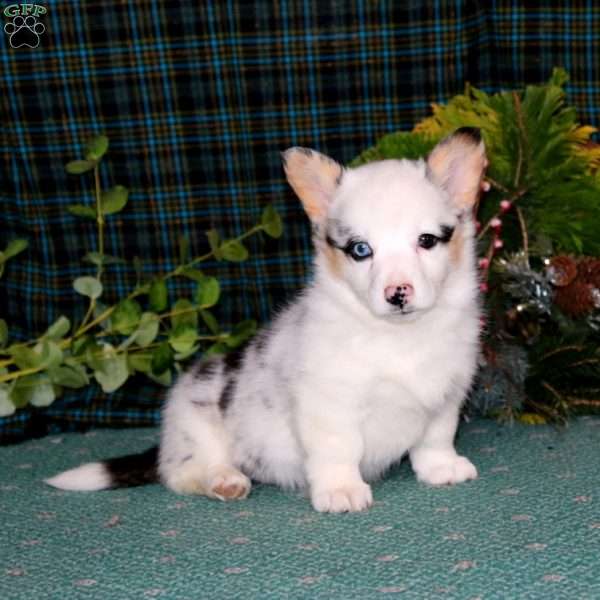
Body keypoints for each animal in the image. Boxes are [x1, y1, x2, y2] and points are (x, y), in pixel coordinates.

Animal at [47, 129, 488, 512]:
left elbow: (435, 438)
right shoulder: (329, 405)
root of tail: (167, 439)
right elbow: (338, 449)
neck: (400, 335)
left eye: (427, 241)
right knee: (183, 471)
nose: (398, 293)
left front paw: (441, 469)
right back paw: (225, 480)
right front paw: (341, 491)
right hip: (196, 426)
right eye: (361, 250)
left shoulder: (446, 397)